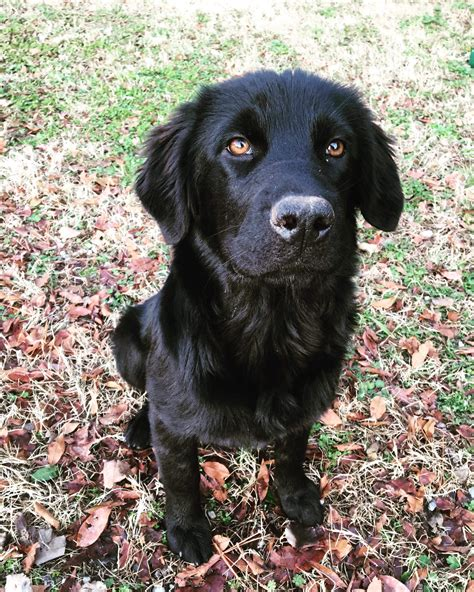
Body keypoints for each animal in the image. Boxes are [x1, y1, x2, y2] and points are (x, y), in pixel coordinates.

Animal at [112, 69, 404, 564]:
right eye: (238, 145)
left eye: (336, 147)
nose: (305, 221)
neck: (271, 322)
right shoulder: (173, 426)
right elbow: (180, 477)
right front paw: (186, 527)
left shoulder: (307, 403)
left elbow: (291, 452)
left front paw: (296, 495)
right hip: (128, 338)